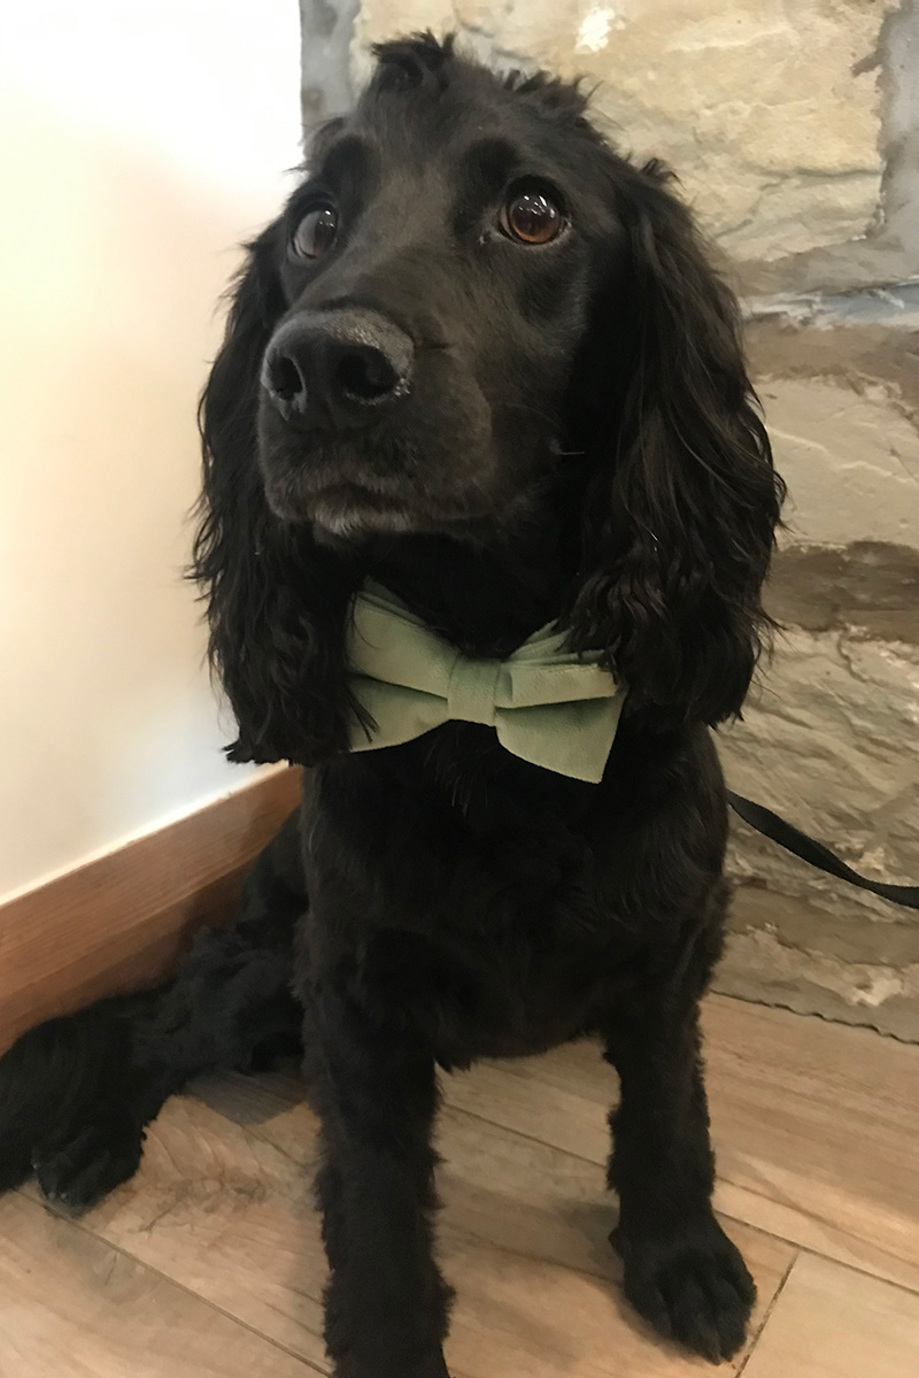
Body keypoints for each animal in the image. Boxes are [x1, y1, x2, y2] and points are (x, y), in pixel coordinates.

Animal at [0, 37, 788, 1372]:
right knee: (158, 1024)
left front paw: (679, 1254)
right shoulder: (354, 989)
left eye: (533, 212)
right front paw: (383, 1337)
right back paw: (90, 1137)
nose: (319, 369)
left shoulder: (669, 950)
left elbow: (668, 1112)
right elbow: (371, 1195)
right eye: (315, 226)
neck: (487, 690)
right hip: (270, 959)